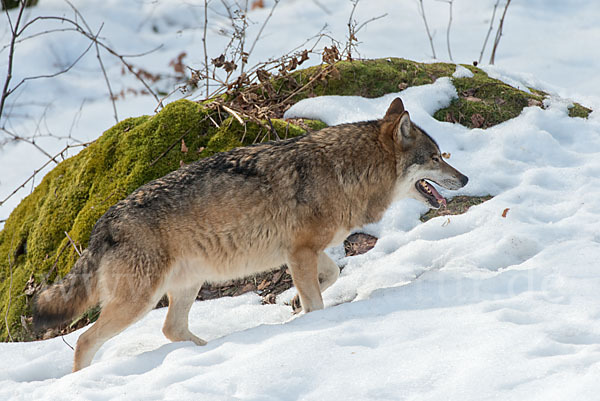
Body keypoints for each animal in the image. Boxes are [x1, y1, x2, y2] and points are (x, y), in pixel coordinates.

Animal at [34, 97, 468, 372]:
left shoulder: (303, 253)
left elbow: (330, 276)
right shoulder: (300, 251)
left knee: (171, 329)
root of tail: (104, 221)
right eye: (436, 157)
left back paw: (210, 351)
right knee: (88, 341)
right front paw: (312, 319)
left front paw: (293, 304)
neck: (346, 172)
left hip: (186, 286)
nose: (464, 178)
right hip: (139, 301)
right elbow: (318, 298)